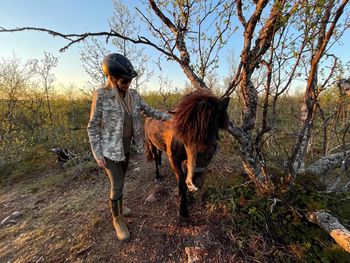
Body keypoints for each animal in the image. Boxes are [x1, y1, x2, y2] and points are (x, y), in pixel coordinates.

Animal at [144, 89, 230, 218]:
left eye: (214, 145)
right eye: (184, 140)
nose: (194, 184)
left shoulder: (186, 161)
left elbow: (185, 178)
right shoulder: (174, 160)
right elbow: (181, 183)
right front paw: (183, 210)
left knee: (159, 153)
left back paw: (159, 162)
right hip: (151, 143)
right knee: (154, 157)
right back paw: (157, 175)